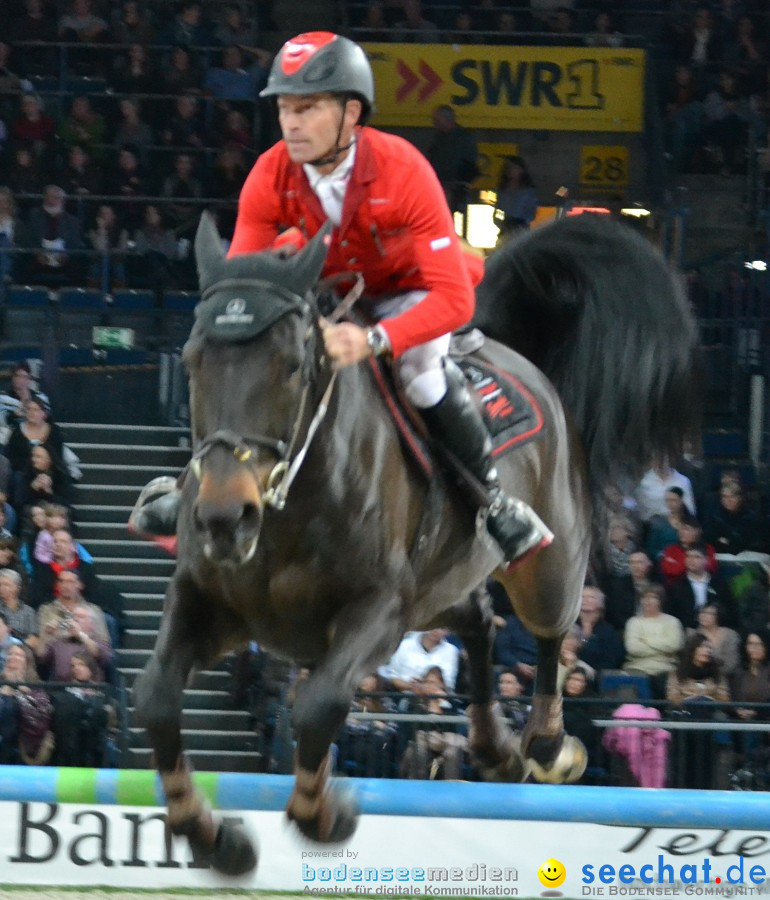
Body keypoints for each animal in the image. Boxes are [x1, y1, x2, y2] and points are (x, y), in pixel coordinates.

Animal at [135, 209, 700, 872]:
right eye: (192, 360)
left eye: (293, 366)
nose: (225, 518)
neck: (287, 508)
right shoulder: (208, 601)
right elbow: (156, 695)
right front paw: (207, 833)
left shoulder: (379, 612)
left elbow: (320, 704)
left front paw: (324, 815)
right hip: (437, 591)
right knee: (478, 619)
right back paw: (495, 749)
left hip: (545, 564)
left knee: (549, 628)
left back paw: (547, 743)